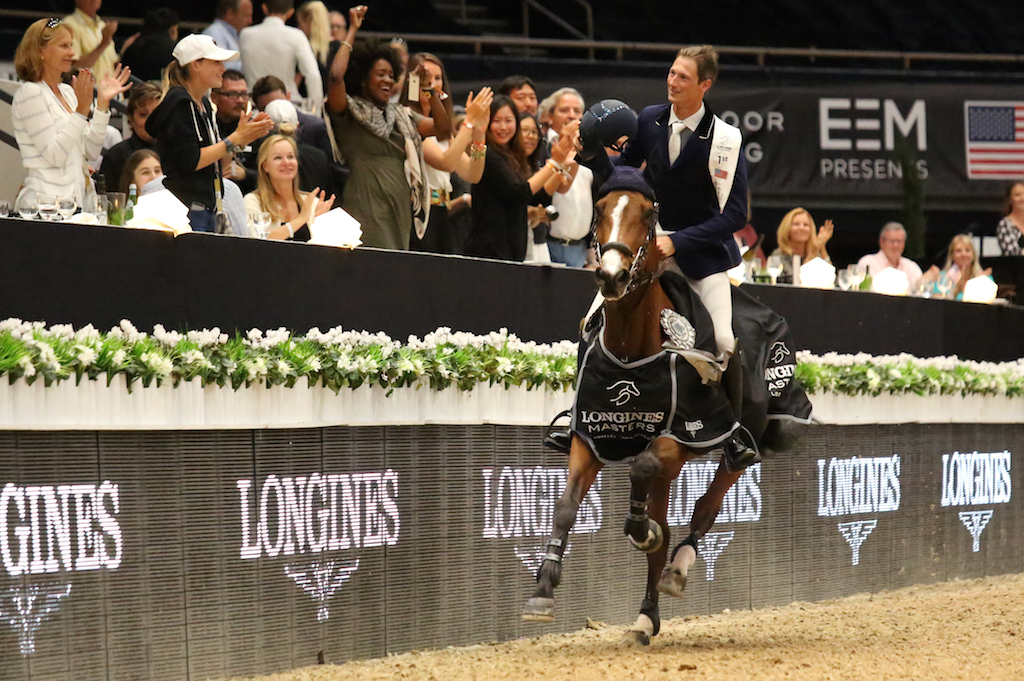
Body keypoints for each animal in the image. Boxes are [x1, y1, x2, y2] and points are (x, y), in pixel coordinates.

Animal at [524, 186, 749, 643]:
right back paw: (646, 616)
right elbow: (566, 505)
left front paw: (641, 532)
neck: (632, 348)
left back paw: (676, 569)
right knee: (666, 523)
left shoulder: (682, 436)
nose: (611, 276)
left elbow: (641, 467)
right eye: (600, 213)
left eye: (648, 216)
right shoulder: (588, 437)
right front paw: (543, 589)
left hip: (736, 440)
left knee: (708, 502)